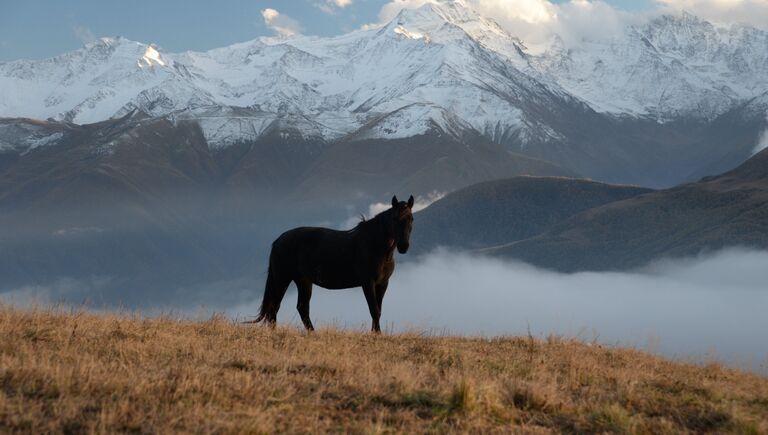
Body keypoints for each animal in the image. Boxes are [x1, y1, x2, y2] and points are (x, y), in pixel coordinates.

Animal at [246, 195, 414, 334]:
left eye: (411, 219)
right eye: (395, 218)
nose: (404, 247)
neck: (375, 246)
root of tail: (278, 240)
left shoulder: (383, 283)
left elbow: (378, 310)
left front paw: (376, 333)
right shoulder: (368, 283)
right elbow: (374, 309)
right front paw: (376, 334)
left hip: (303, 281)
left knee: (302, 308)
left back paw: (312, 333)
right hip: (282, 279)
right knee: (274, 307)